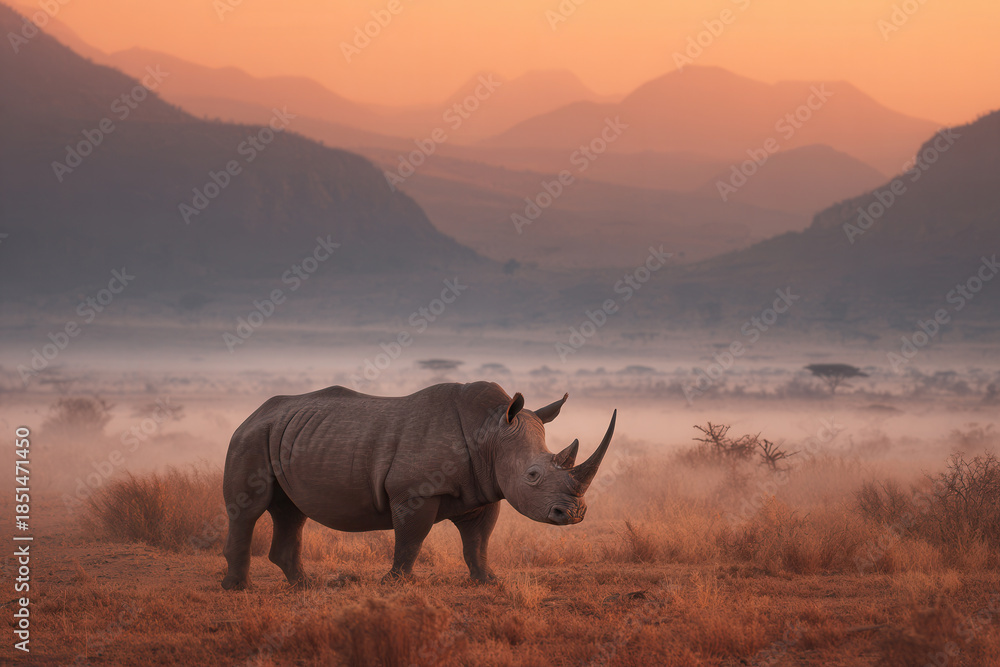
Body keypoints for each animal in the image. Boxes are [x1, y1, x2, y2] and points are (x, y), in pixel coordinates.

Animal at [221, 381, 616, 589]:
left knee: (292, 512)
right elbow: (411, 539)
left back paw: (304, 585)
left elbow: (478, 542)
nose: (574, 514)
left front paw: (487, 581)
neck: (490, 433)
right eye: (533, 475)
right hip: (251, 438)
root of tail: (252, 413)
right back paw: (239, 588)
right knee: (249, 510)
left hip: (285, 435)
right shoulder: (414, 491)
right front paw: (395, 584)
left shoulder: (485, 491)